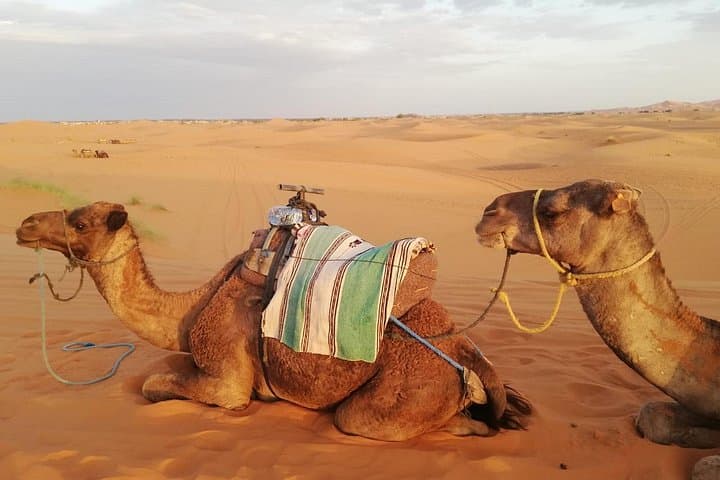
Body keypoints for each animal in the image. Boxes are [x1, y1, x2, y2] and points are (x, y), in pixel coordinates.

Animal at [16, 201, 531, 441]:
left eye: (81, 222)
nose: (24, 224)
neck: (191, 309)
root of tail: (464, 354)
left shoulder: (226, 375)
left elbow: (156, 385)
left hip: (404, 393)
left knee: (364, 418)